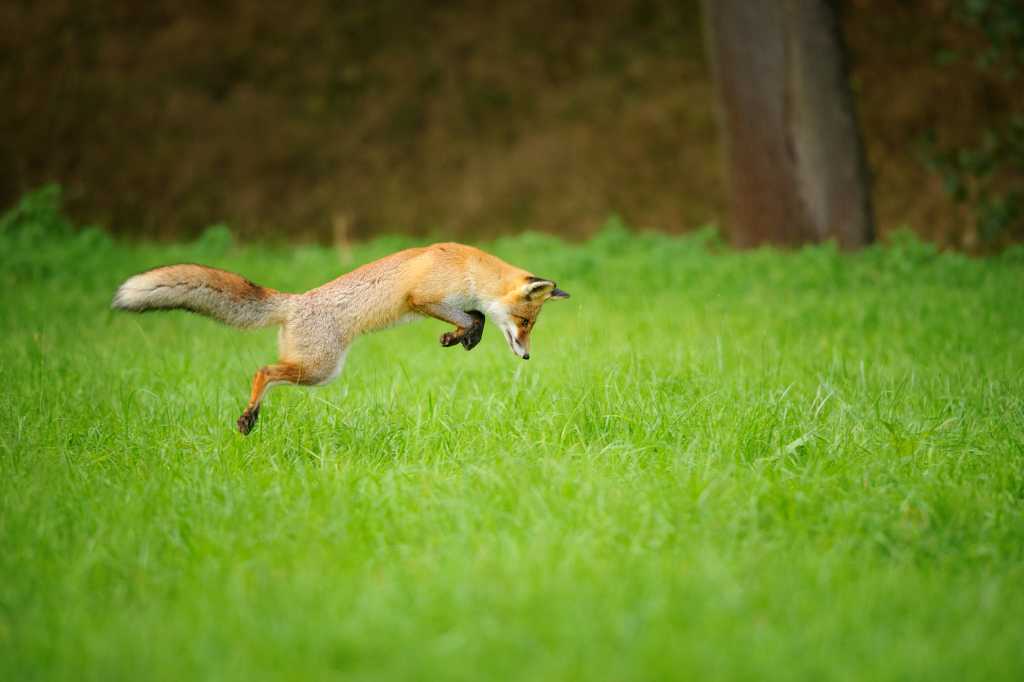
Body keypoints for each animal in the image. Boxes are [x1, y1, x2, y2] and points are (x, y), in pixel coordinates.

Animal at [117, 241, 577, 432]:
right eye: (526, 322)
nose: (527, 357)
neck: (468, 268)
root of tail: (294, 301)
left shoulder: (441, 303)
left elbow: (476, 316)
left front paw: (458, 339)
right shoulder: (421, 297)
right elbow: (476, 316)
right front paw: (462, 336)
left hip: (315, 369)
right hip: (320, 369)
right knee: (263, 371)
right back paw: (248, 417)